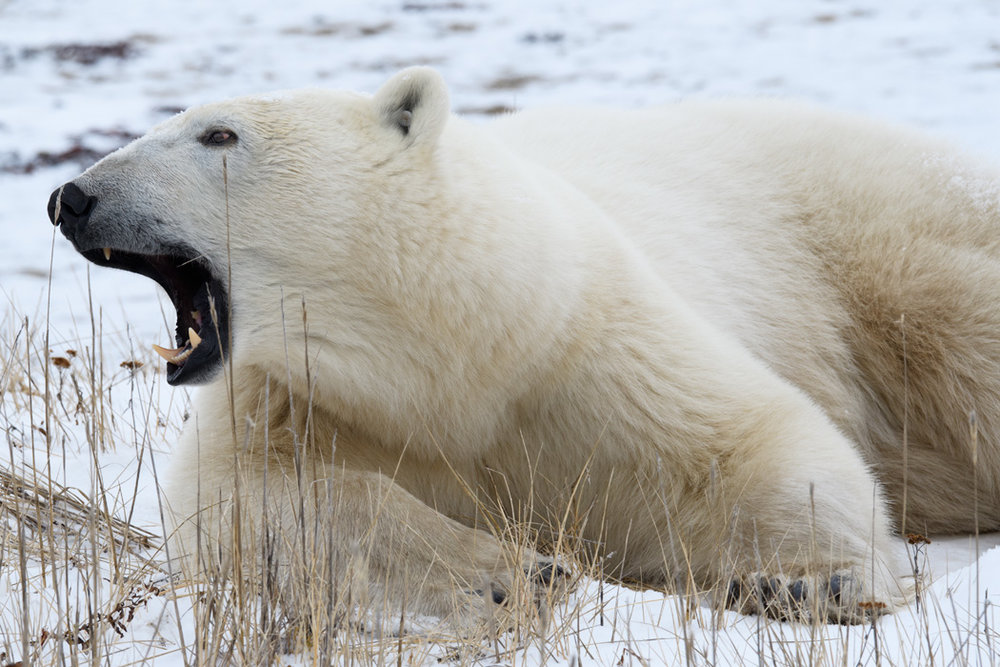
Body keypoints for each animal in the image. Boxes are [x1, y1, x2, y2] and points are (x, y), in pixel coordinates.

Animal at [46, 67, 1000, 626]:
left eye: (218, 133)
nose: (71, 197)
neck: (444, 354)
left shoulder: (576, 344)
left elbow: (746, 436)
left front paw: (810, 578)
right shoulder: (300, 396)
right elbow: (248, 497)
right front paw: (512, 571)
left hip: (890, 240)